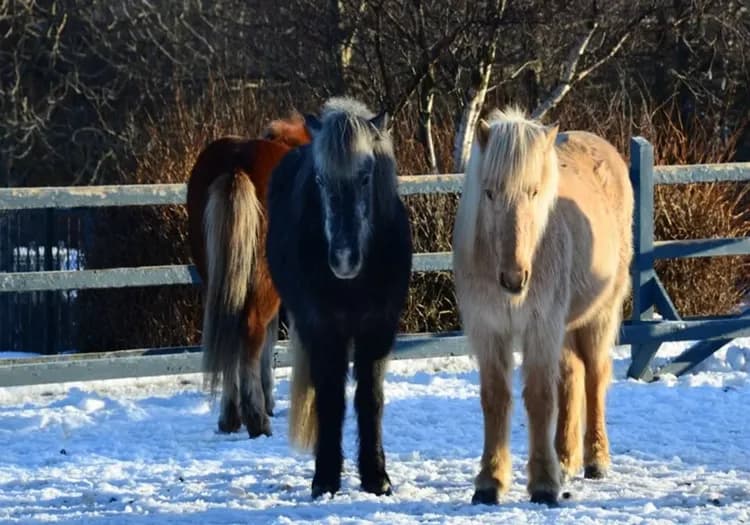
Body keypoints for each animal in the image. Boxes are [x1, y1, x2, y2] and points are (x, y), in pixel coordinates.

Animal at [266, 97, 413, 499]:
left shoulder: (378, 328)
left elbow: (369, 398)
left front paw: (376, 477)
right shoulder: (322, 328)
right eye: (319, 179)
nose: (344, 259)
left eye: (366, 176)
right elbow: (331, 399)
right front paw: (326, 478)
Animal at [452, 107, 633, 506]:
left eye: (534, 192)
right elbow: (495, 398)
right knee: (572, 376)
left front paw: (544, 485)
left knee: (594, 377)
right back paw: (564, 459)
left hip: (597, 316)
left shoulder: (540, 327)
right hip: (564, 327)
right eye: (489, 192)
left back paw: (595, 460)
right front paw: (490, 481)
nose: (513, 278)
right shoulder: (488, 330)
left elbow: (539, 398)